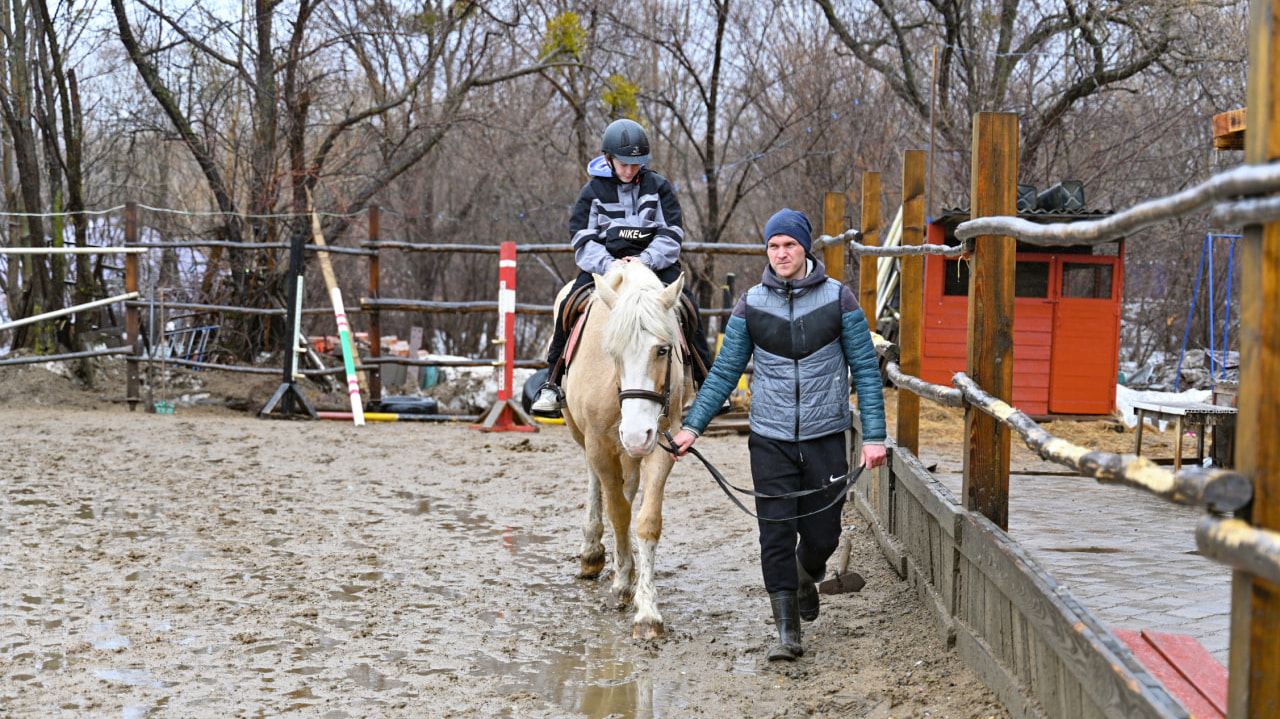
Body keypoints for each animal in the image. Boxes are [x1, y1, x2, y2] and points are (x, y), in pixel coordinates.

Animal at [560, 259, 691, 634]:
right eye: (612, 352)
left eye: (663, 349)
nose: (634, 434)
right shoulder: (599, 445)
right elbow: (618, 512)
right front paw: (621, 585)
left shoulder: (663, 443)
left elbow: (646, 520)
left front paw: (647, 610)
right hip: (586, 436)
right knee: (600, 486)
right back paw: (593, 552)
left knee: (627, 488)